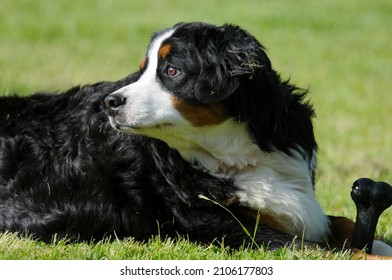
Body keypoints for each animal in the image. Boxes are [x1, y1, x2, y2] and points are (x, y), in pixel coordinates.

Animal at [0, 21, 392, 256]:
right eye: (142, 71)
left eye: (172, 71)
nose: (110, 103)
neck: (233, 151)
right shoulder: (222, 227)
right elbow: (337, 250)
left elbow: (346, 226)